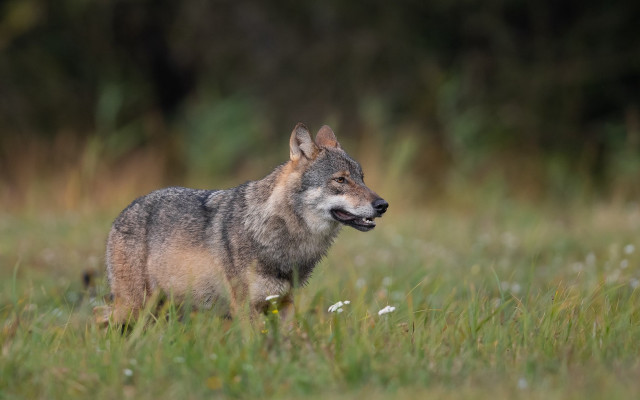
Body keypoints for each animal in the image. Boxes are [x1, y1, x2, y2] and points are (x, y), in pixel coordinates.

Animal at [102, 123, 388, 323]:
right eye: (340, 180)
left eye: (362, 178)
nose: (383, 205)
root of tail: (124, 211)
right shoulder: (245, 308)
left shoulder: (284, 305)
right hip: (134, 306)